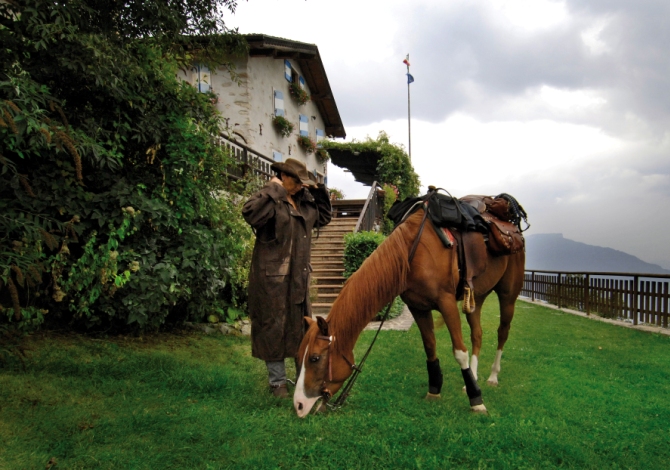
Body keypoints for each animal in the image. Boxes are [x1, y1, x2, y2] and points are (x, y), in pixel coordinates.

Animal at [296, 207, 528, 416]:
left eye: (315, 358)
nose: (298, 405)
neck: (411, 252)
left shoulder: (446, 302)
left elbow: (459, 352)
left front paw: (476, 401)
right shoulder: (418, 307)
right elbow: (430, 347)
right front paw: (434, 390)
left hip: (507, 295)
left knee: (502, 332)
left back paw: (492, 377)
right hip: (475, 297)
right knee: (477, 334)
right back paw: (475, 376)